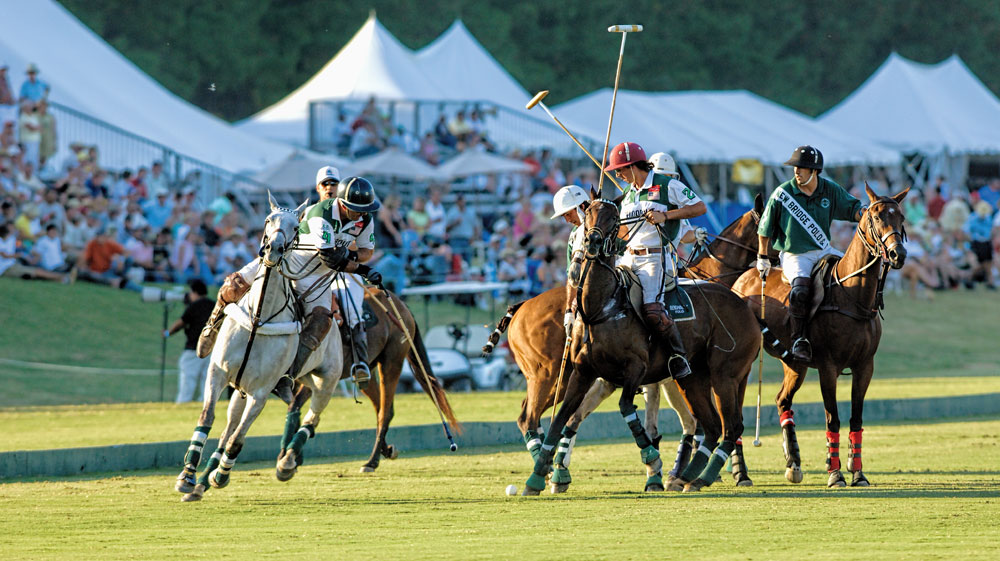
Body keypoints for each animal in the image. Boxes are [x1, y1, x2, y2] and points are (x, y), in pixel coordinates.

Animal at [173, 195, 344, 500]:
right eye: (268, 220)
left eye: (296, 226)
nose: (273, 249)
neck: (259, 316)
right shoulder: (218, 373)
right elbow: (208, 418)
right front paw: (187, 476)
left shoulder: (262, 392)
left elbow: (239, 439)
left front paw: (222, 476)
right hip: (240, 389)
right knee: (227, 428)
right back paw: (201, 483)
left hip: (326, 380)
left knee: (312, 419)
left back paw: (285, 463)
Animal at [274, 284, 460, 476]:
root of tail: (401, 304)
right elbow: (294, 406)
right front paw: (291, 457)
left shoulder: (323, 376)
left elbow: (296, 405)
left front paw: (289, 457)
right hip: (366, 371)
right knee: (381, 407)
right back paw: (386, 451)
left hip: (391, 362)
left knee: (384, 412)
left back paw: (372, 461)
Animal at [484, 194, 764, 490]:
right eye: (589, 215)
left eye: (614, 218)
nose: (592, 242)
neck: (602, 308)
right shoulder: (595, 375)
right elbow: (566, 418)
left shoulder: (637, 372)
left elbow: (617, 413)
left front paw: (657, 468)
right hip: (550, 377)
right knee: (529, 417)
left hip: (720, 374)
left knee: (725, 425)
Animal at [732, 184, 912, 486]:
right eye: (876, 217)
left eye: (901, 217)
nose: (898, 254)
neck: (853, 297)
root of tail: (741, 279)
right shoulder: (829, 367)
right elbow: (833, 418)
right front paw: (835, 473)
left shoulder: (865, 366)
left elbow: (855, 418)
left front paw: (857, 472)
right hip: (744, 362)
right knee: (734, 410)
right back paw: (740, 472)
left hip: (794, 363)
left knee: (782, 400)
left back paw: (793, 463)